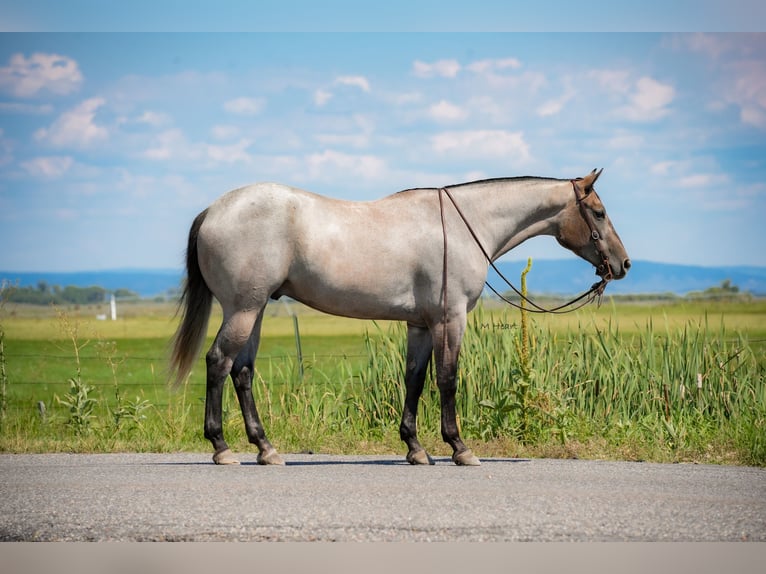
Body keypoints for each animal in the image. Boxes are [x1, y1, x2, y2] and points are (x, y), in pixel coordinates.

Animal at [169, 168, 630, 466]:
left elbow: (415, 379)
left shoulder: (420, 325)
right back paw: (222, 447)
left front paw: (415, 448)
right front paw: (459, 448)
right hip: (243, 309)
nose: (623, 264)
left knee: (242, 372)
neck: (465, 225)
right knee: (219, 363)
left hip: (256, 309)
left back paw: (265, 449)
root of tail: (214, 210)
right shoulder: (450, 319)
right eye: (600, 212)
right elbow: (447, 379)